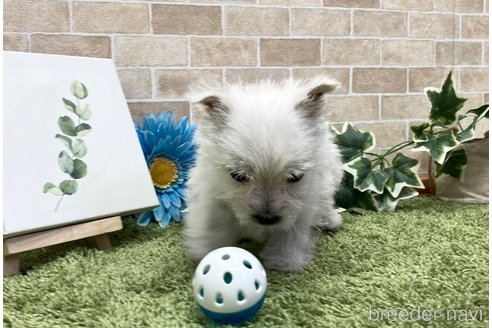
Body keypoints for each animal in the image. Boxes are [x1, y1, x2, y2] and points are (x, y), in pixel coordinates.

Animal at [184, 77, 342, 272]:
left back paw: (330, 220)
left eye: (295, 177)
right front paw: (207, 250)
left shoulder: (302, 204)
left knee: (326, 201)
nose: (267, 218)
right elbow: (213, 225)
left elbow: (290, 233)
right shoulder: (212, 196)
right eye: (238, 176)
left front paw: (283, 261)